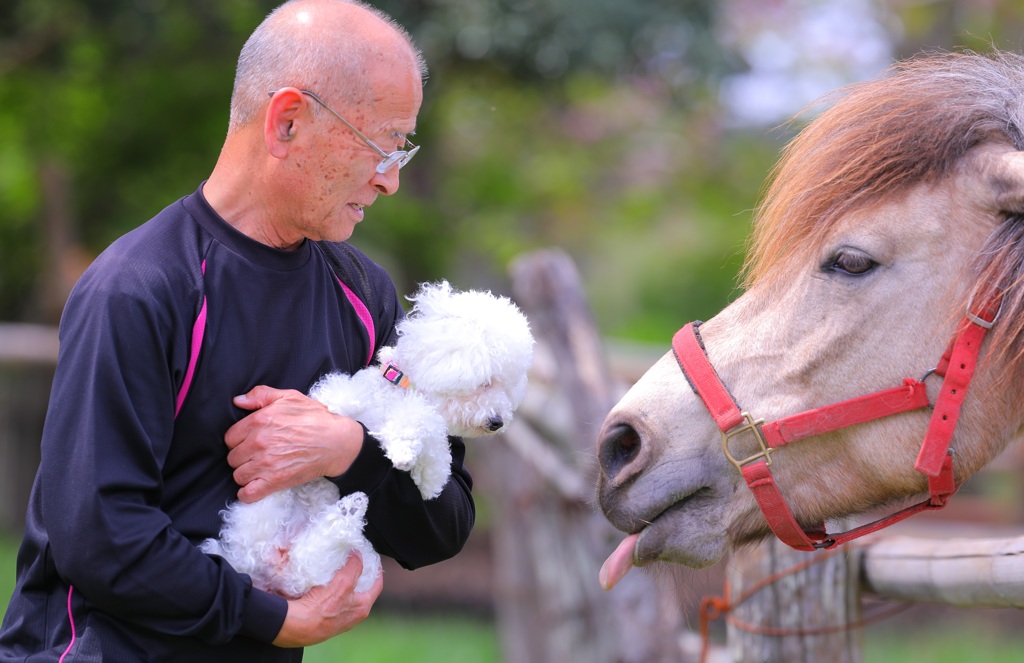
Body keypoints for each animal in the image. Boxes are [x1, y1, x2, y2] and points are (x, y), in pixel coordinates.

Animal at [200, 280, 536, 598]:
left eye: (507, 387)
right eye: (486, 382)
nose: (497, 422)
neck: (401, 391)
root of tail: (269, 576)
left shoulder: (424, 422)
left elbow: (428, 435)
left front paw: (416, 464)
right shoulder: (350, 395)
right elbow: (337, 401)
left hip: (357, 559)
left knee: (305, 565)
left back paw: (347, 513)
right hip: (263, 506)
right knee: (269, 556)